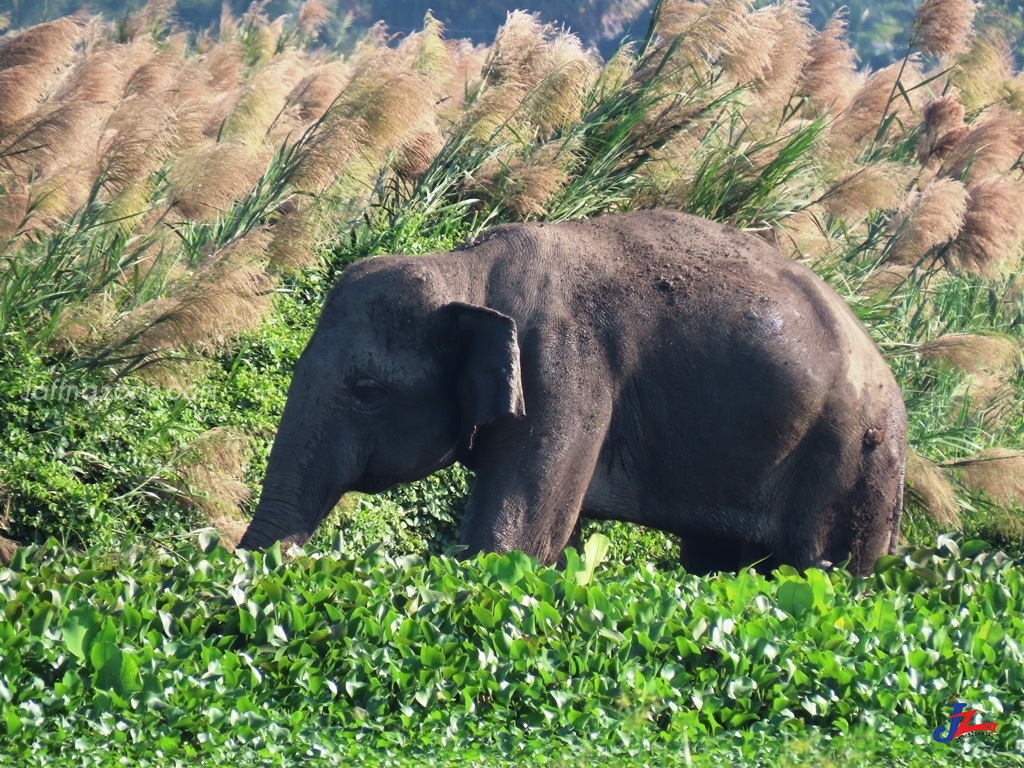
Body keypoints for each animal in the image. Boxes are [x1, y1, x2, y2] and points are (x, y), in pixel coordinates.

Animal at [237, 210, 905, 577]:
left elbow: (513, 542)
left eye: (368, 391)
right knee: (721, 566)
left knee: (824, 572)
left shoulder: (569, 374)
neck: (468, 267)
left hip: (855, 464)